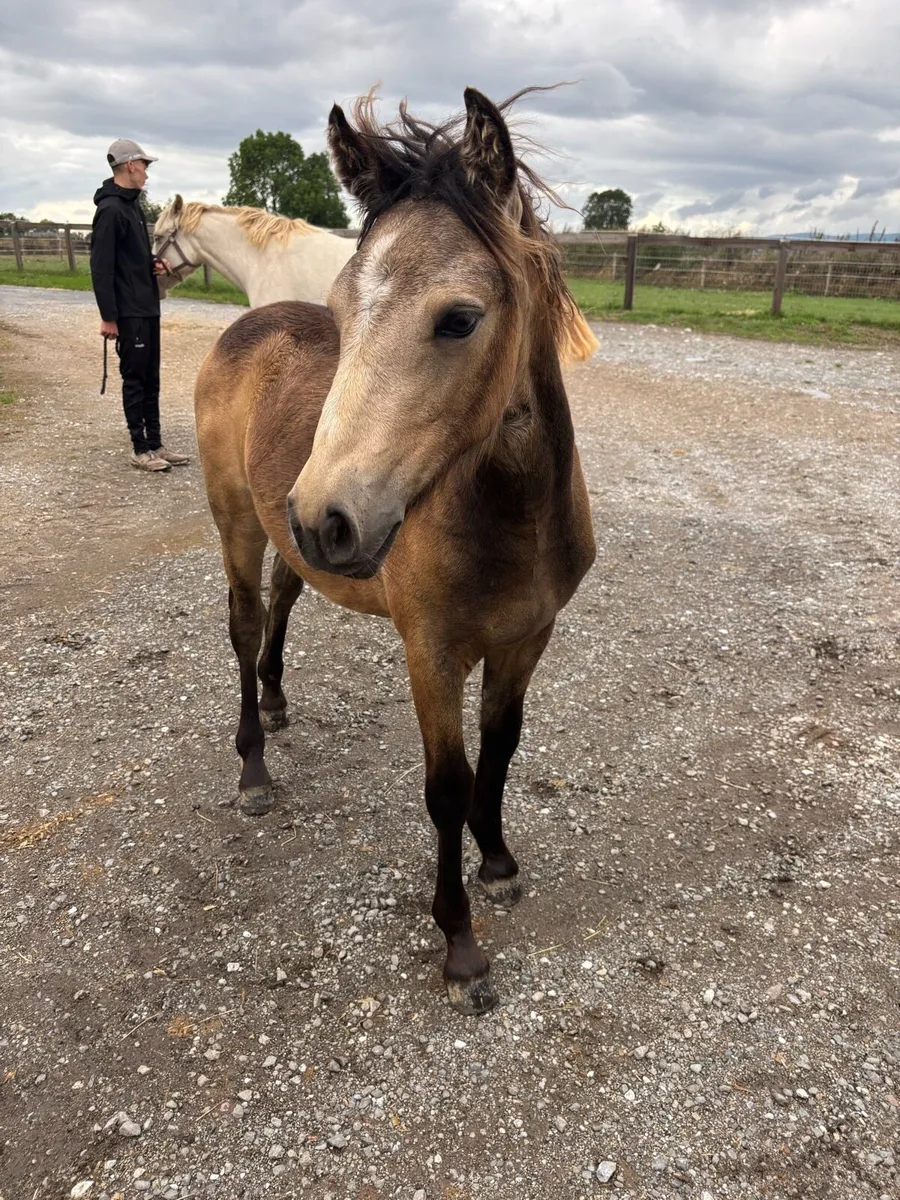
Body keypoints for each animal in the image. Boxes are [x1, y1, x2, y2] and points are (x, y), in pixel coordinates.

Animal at [193, 86, 599, 1015]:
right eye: (343, 316)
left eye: (459, 319)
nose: (327, 517)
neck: (512, 519)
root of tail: (247, 324)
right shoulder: (432, 652)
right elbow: (445, 787)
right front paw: (461, 950)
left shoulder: (528, 639)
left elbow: (502, 749)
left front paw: (499, 860)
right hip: (240, 523)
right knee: (243, 623)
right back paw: (254, 771)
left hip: (284, 537)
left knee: (283, 599)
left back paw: (278, 701)